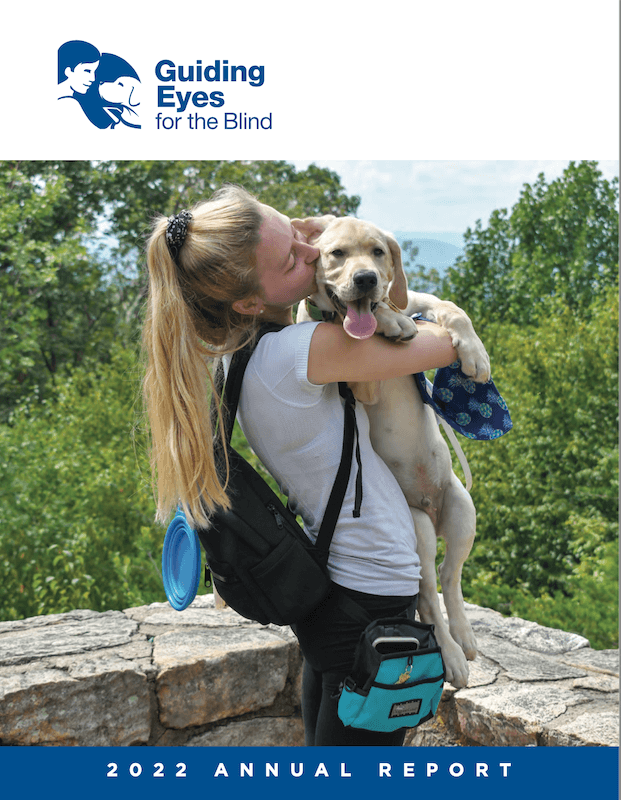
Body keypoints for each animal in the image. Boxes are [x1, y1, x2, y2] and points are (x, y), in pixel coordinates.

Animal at [296, 216, 490, 692]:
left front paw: (474, 352)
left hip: (462, 508)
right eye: (336, 254)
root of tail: (431, 510)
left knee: (450, 579)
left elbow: (448, 305)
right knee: (428, 595)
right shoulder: (356, 375)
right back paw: (452, 656)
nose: (366, 279)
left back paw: (464, 634)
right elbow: (371, 324)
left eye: (379, 252)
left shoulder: (415, 297)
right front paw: (389, 321)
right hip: (417, 526)